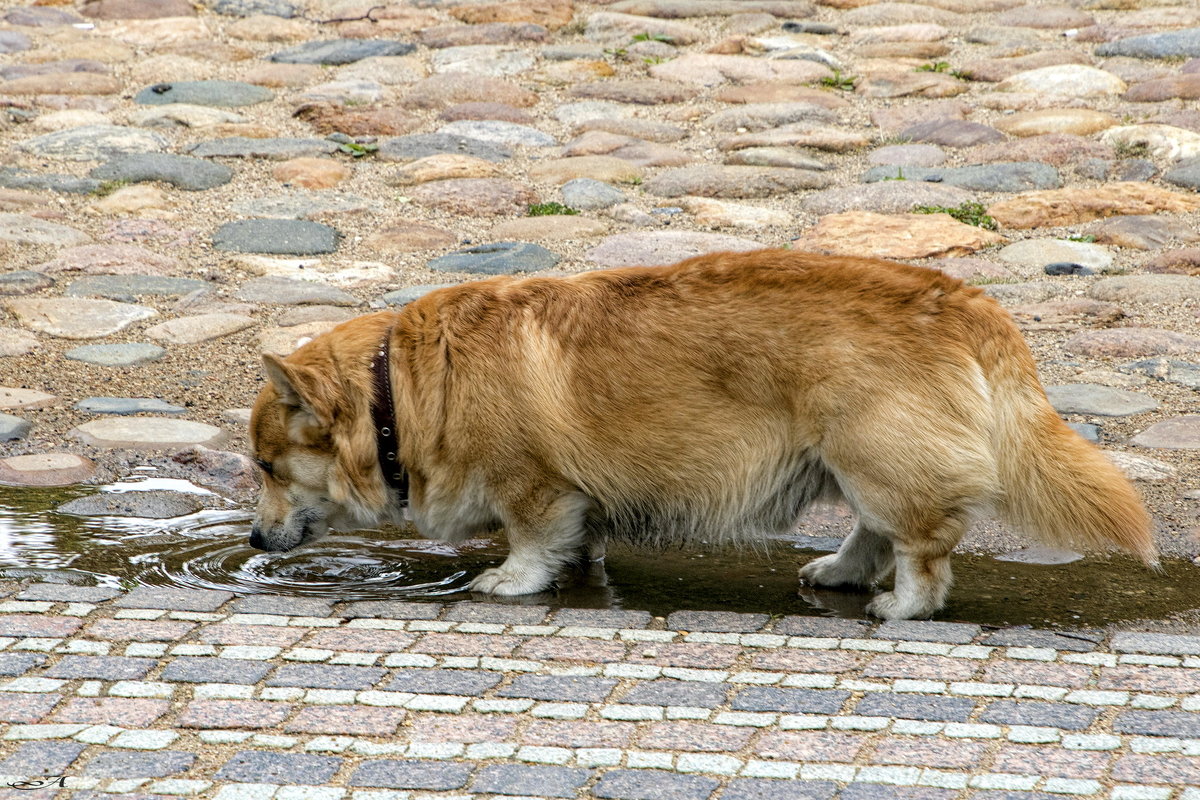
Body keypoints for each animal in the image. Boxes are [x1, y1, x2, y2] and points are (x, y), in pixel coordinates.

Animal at [248, 250, 1156, 618]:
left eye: (266, 466)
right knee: (872, 533)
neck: (396, 391)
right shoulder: (575, 501)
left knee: (921, 547)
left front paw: (509, 581)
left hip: (874, 458)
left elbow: (531, 543)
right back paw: (838, 574)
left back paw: (902, 605)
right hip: (849, 464)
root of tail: (964, 300)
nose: (253, 540)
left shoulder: (534, 488)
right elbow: (579, 542)